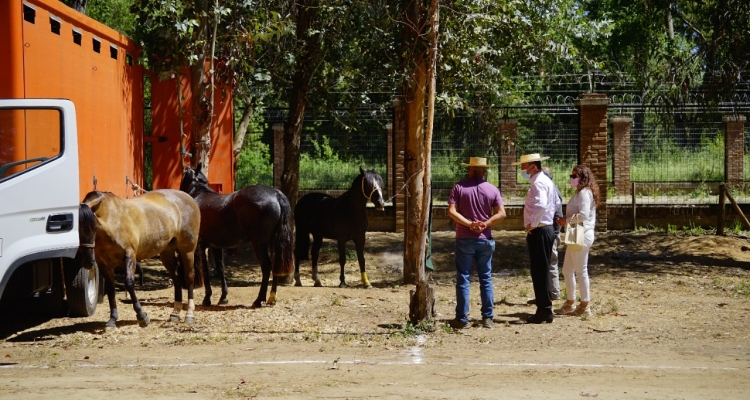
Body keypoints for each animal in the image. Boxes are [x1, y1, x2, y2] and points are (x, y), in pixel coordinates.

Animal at [79, 191, 203, 328]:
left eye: (95, 227)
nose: (88, 262)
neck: (112, 220)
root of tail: (189, 198)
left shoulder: (130, 257)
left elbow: (129, 283)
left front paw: (142, 316)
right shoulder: (105, 264)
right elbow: (111, 290)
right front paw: (112, 319)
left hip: (187, 250)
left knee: (189, 277)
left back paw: (189, 314)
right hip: (167, 252)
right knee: (176, 278)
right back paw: (175, 313)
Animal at [181, 164, 296, 308]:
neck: (199, 195)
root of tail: (276, 195)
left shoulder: (202, 245)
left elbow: (206, 270)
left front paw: (207, 298)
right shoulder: (216, 245)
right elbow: (220, 268)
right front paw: (223, 297)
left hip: (259, 243)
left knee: (266, 266)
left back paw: (259, 299)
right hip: (272, 241)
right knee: (274, 264)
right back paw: (272, 298)